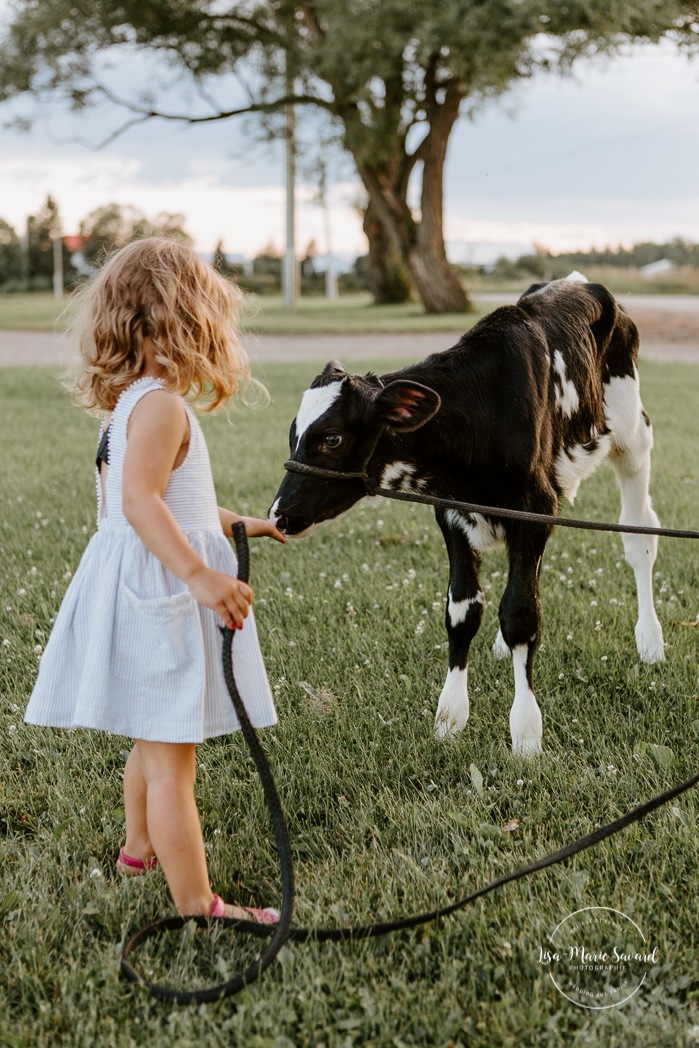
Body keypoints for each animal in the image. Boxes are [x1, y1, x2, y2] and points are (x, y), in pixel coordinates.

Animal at [270, 276, 666, 754]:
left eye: (331, 438)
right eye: (293, 434)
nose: (278, 515)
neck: (482, 413)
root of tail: (577, 282)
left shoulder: (534, 507)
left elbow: (521, 614)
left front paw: (526, 733)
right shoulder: (452, 513)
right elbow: (463, 611)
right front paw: (451, 717)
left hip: (633, 435)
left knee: (640, 536)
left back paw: (650, 639)